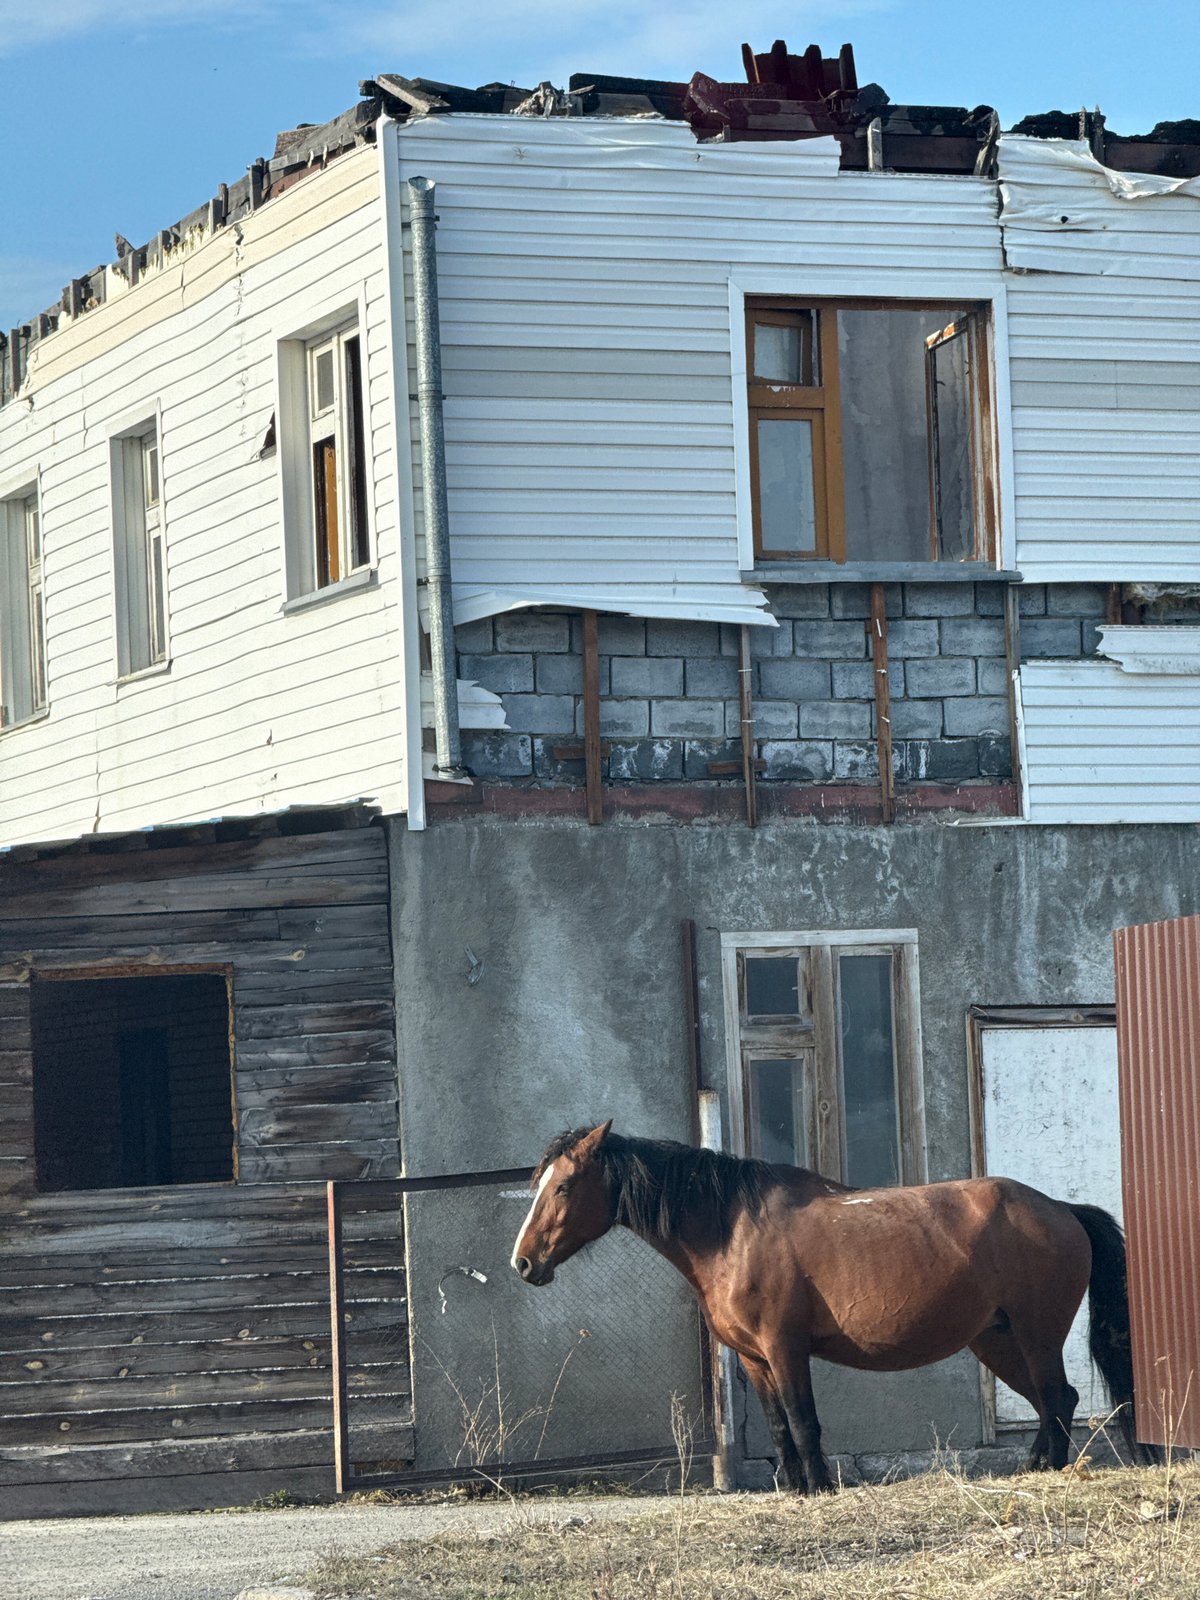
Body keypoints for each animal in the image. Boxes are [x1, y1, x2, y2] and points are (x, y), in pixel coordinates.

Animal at [511, 1121, 1158, 1493]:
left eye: (563, 1186)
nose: (522, 1262)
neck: (731, 1230)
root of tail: (1063, 1209)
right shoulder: (754, 1360)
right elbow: (778, 1425)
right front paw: (796, 1490)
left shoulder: (785, 1348)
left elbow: (804, 1420)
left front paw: (821, 1487)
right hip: (996, 1339)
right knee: (1051, 1402)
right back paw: (1035, 1467)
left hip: (1035, 1334)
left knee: (1059, 1399)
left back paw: (1051, 1470)